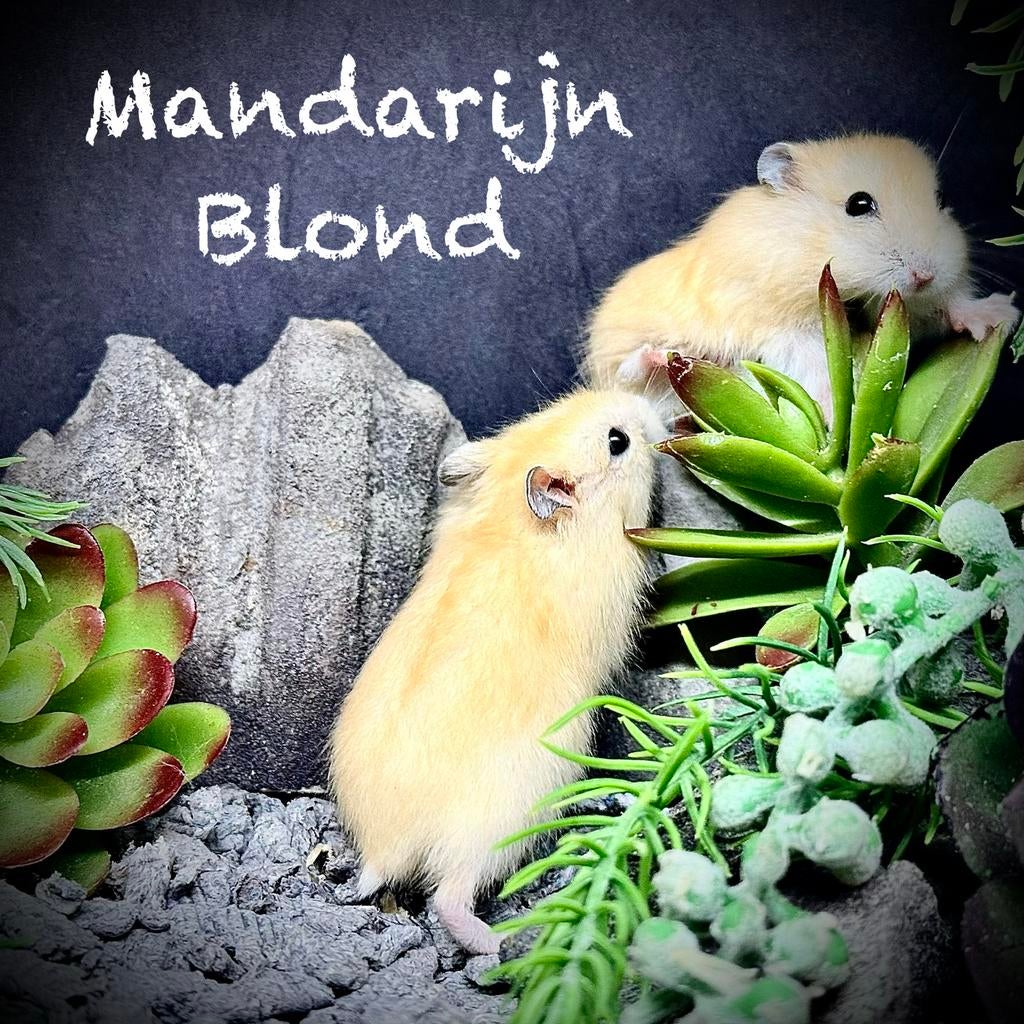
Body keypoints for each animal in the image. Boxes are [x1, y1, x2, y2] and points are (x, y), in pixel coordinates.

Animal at [329, 389, 663, 954]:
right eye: (617, 441)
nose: (645, 406)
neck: (511, 518)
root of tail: (382, 851)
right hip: (501, 825)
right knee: (448, 900)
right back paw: (505, 943)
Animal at [585, 133, 1018, 413]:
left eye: (941, 199)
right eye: (858, 204)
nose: (925, 276)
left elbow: (948, 307)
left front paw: (1001, 316)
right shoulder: (779, 325)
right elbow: (813, 362)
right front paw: (837, 408)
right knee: (630, 376)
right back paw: (662, 356)